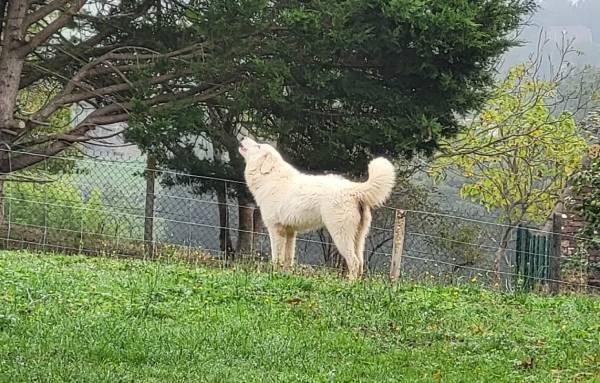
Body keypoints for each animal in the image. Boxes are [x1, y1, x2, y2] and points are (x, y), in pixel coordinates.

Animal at [237, 138, 396, 282]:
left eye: (258, 146)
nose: (243, 137)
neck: (270, 177)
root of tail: (353, 190)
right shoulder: (290, 232)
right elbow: (288, 259)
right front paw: (284, 276)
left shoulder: (276, 229)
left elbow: (277, 258)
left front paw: (274, 275)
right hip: (358, 238)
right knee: (361, 263)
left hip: (340, 235)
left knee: (354, 262)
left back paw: (348, 285)